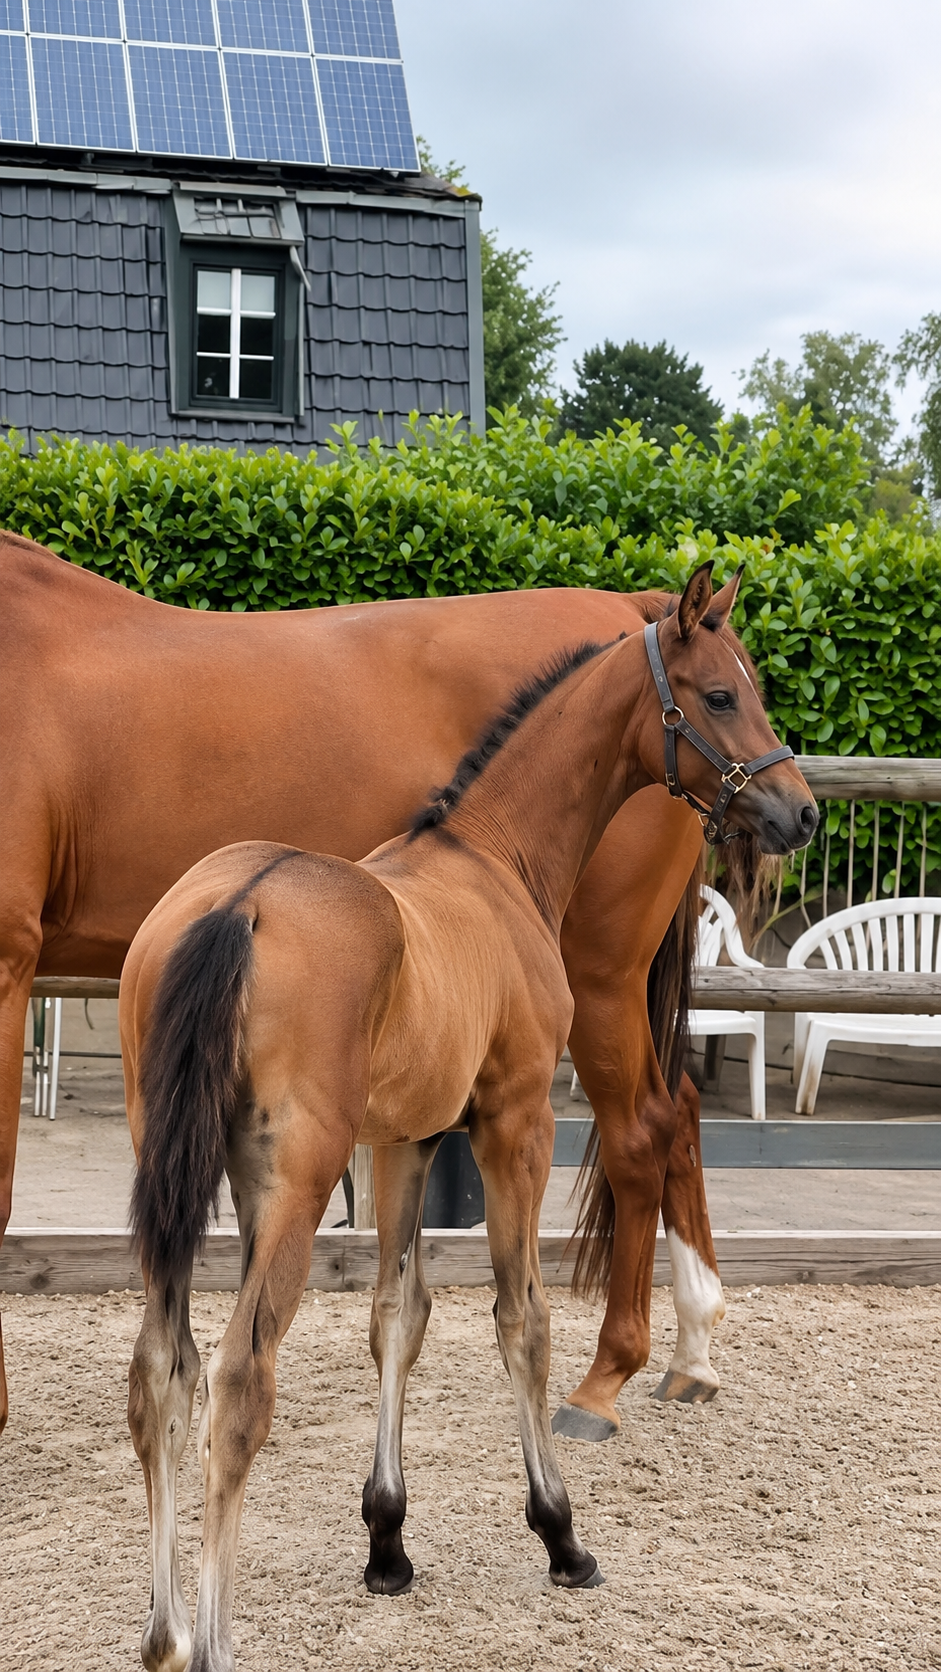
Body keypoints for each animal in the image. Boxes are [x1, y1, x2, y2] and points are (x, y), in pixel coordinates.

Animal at [0, 533, 807, 1442]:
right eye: (719, 694)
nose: (800, 810)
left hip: (600, 981)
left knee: (644, 1130)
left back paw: (612, 1376)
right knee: (672, 1115)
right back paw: (676, 1356)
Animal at [122, 564, 816, 1671]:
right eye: (718, 694)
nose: (800, 811)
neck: (491, 857)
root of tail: (238, 906)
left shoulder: (406, 1140)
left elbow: (395, 1318)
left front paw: (387, 1544)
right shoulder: (512, 1124)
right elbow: (520, 1318)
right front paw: (561, 1534)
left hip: (176, 1171)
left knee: (163, 1371)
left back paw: (165, 1634)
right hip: (291, 1185)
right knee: (238, 1383)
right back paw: (216, 1640)